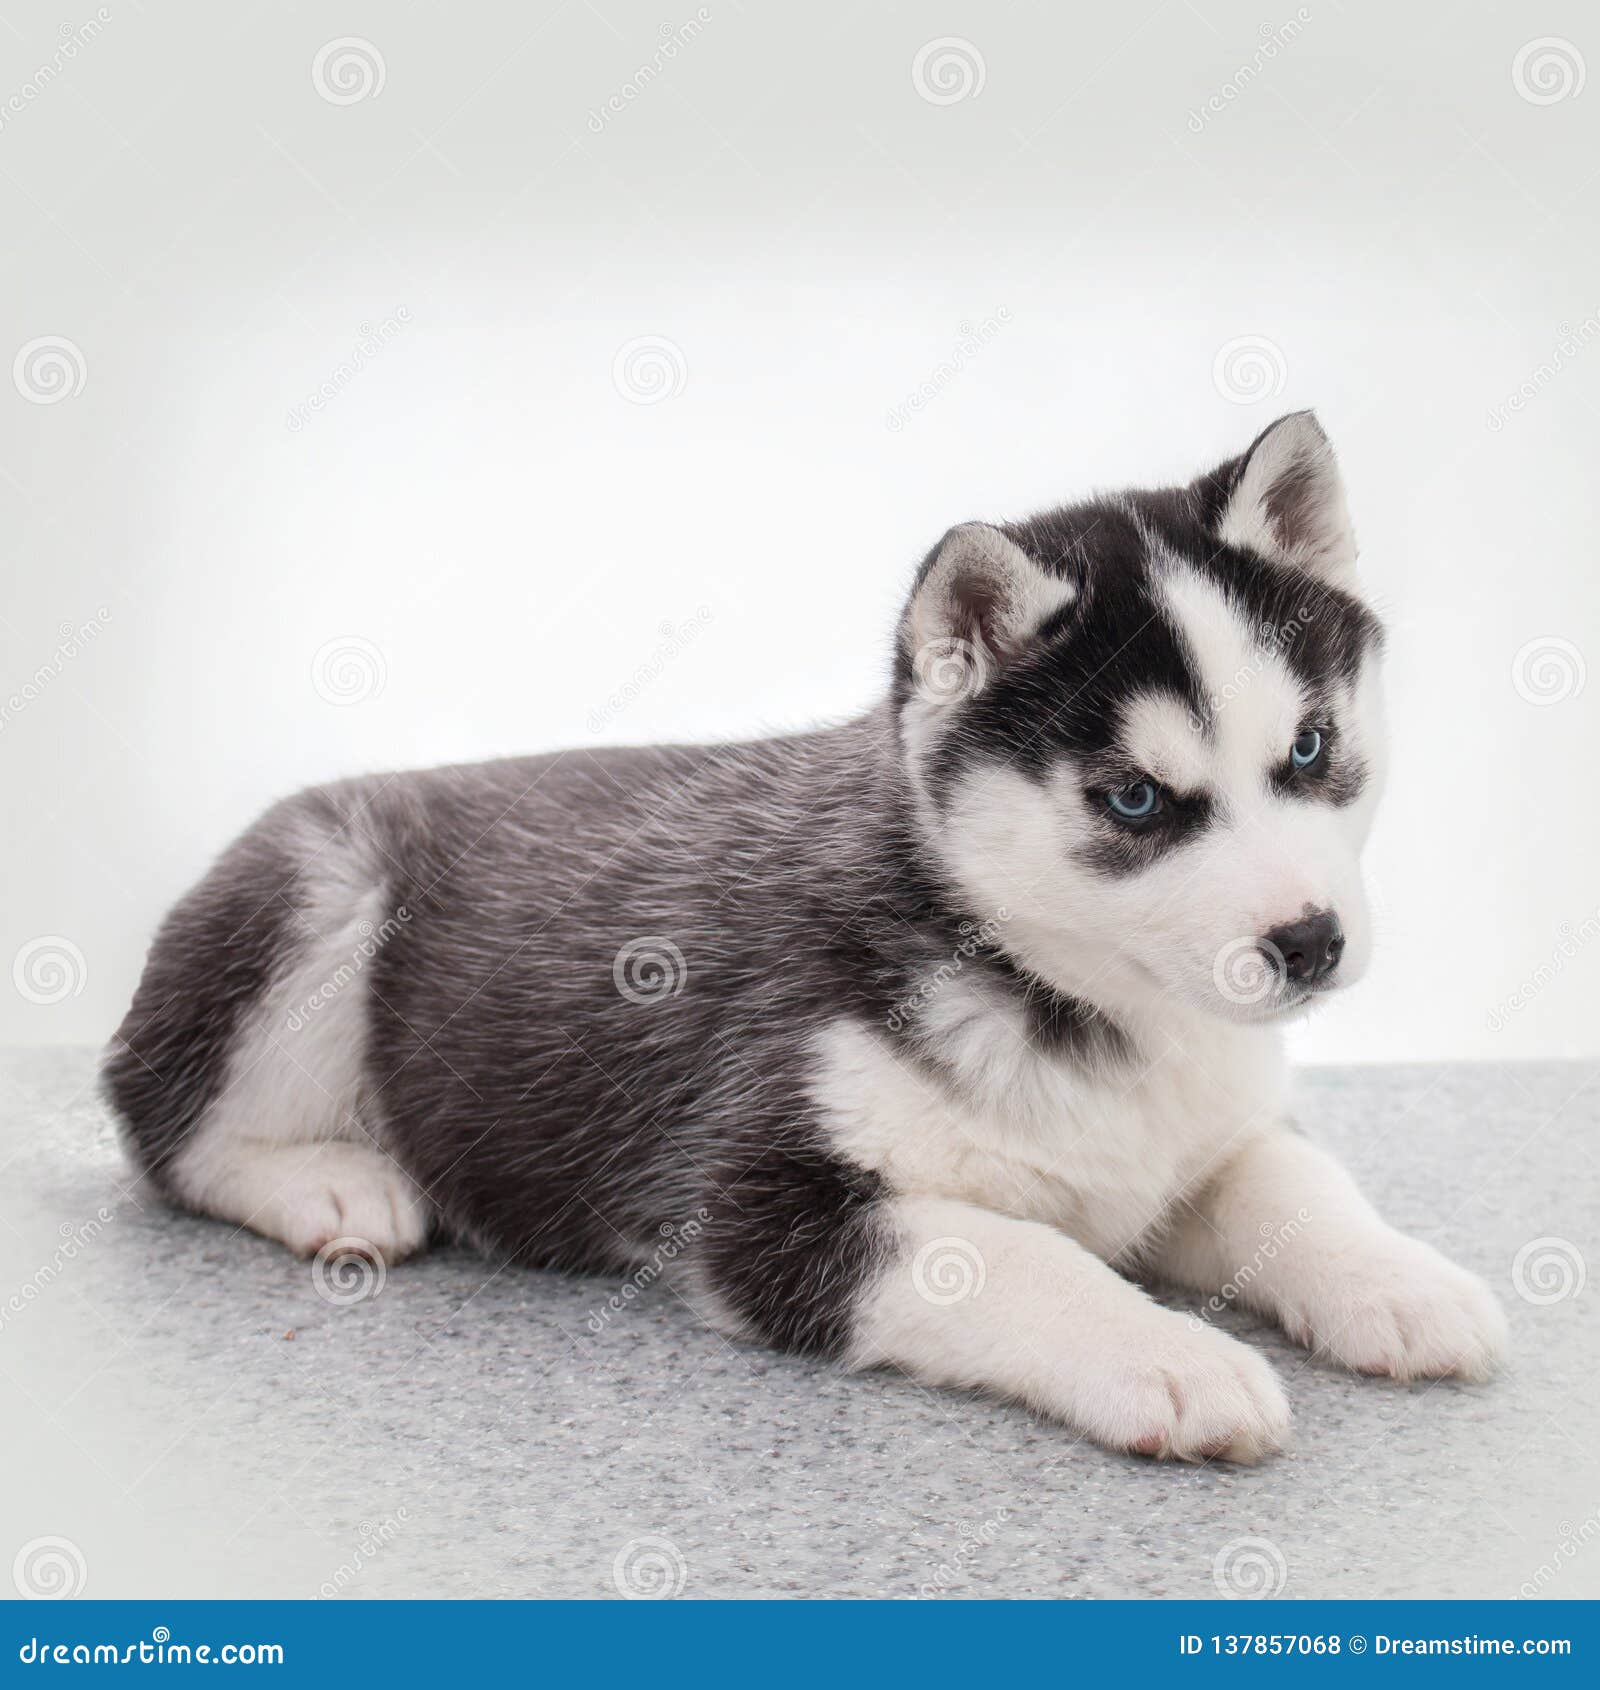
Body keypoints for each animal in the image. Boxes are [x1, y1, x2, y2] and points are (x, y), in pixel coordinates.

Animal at [106, 412, 1507, 1466]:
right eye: (1133, 801)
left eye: (1311, 748)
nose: (1309, 943)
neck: (1066, 994)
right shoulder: (753, 1205)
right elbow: (1018, 1252)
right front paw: (1167, 1352)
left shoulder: (1206, 1139)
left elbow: (1292, 1184)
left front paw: (1399, 1278)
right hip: (316, 897)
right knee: (167, 1128)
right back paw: (328, 1183)